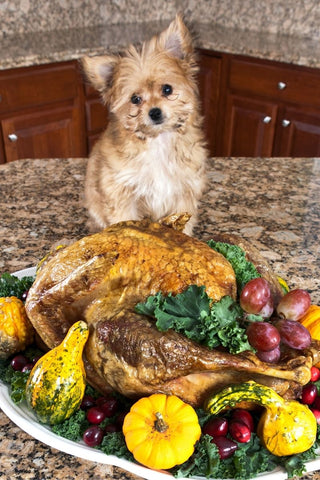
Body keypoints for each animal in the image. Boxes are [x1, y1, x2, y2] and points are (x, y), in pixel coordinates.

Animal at [81, 13, 208, 234]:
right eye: (135, 99)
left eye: (167, 89)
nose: (154, 112)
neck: (158, 142)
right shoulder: (123, 191)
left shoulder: (185, 191)